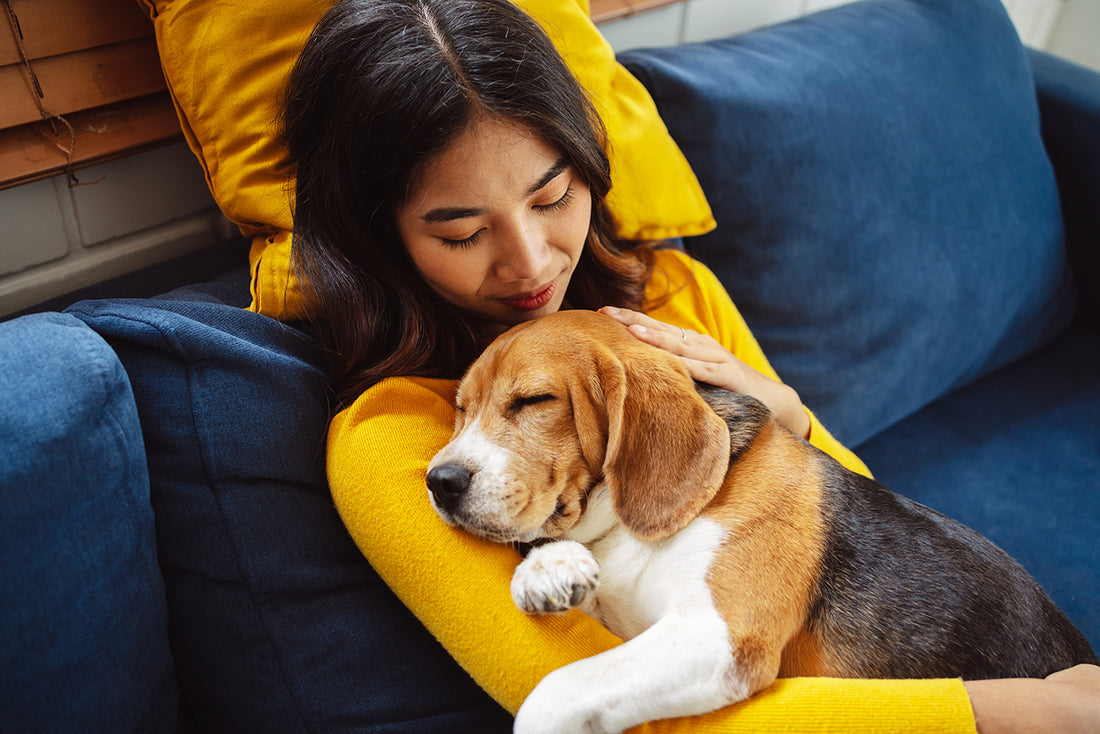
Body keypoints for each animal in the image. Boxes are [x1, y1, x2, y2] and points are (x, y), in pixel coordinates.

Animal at [424, 310, 1095, 734]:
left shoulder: (717, 636)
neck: (626, 531)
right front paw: (549, 568)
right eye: (460, 409)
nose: (440, 481)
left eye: (534, 401)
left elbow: (558, 691)